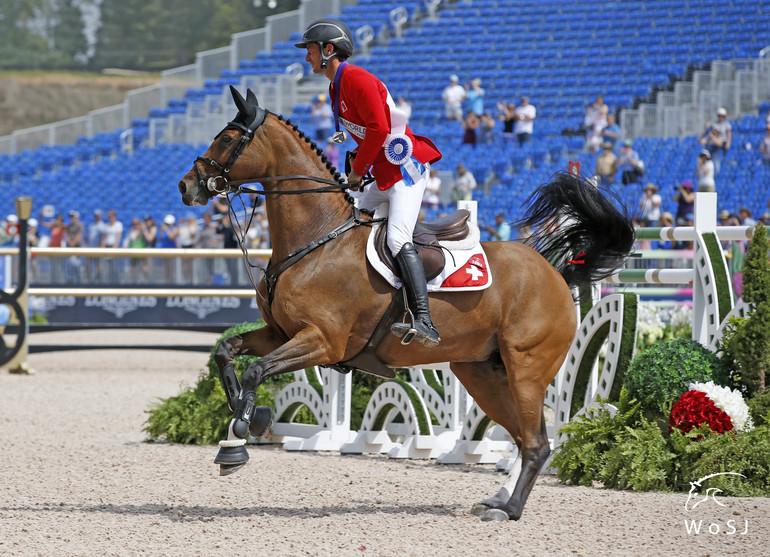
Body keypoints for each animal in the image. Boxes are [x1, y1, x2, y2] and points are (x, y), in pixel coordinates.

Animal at [177, 87, 632, 520]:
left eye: (227, 137)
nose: (187, 185)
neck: (318, 236)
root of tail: (556, 274)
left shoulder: (322, 342)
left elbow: (256, 369)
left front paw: (239, 436)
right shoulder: (280, 333)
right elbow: (227, 352)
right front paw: (246, 415)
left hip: (527, 369)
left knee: (537, 443)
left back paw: (509, 510)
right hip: (482, 373)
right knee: (524, 438)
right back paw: (499, 500)